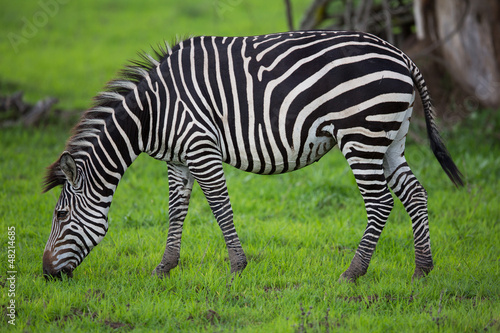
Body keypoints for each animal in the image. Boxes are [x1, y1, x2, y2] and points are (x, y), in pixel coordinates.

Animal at [41, 31, 462, 282]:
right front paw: (164, 267)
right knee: (415, 194)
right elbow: (176, 210)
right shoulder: (178, 159)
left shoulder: (200, 146)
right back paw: (422, 269)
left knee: (380, 203)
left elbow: (219, 206)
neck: (153, 112)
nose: (45, 274)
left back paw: (352, 273)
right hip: (390, 138)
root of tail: (401, 56)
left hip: (362, 135)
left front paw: (237, 267)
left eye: (60, 215)